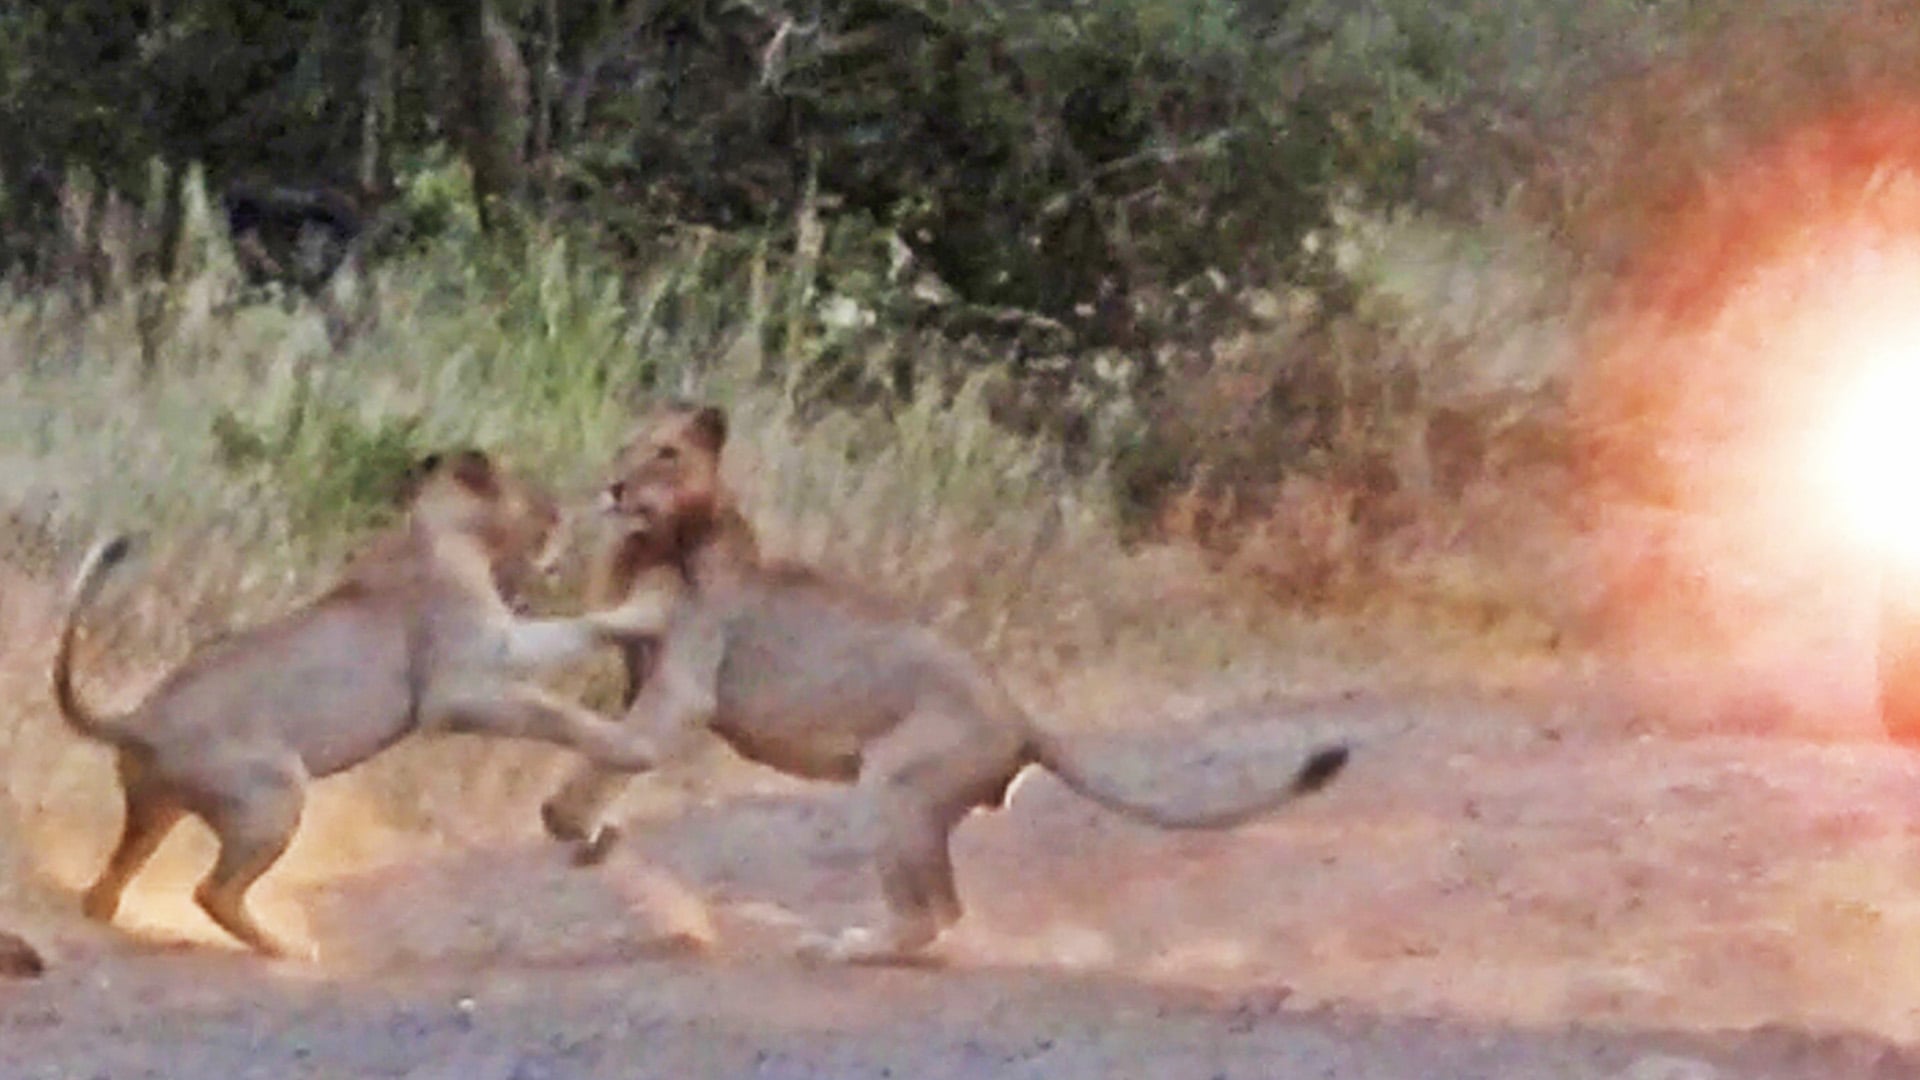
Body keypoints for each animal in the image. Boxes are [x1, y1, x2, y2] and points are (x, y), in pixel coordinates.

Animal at [51, 448, 669, 960]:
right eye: (538, 500)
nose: (568, 517)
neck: (439, 533)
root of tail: (136, 720)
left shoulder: (504, 642)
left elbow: (571, 631)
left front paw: (641, 616)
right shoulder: (455, 692)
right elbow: (555, 713)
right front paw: (633, 747)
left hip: (154, 812)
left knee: (104, 892)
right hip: (274, 792)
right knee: (213, 890)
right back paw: (288, 949)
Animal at [538, 402, 1351, 964]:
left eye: (666, 453)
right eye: (628, 446)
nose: (614, 486)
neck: (663, 539)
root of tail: (1021, 714)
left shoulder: (683, 691)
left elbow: (608, 756)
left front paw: (569, 822)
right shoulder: (644, 680)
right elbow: (608, 757)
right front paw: (592, 835)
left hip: (897, 783)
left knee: (932, 913)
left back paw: (843, 946)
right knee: (942, 911)